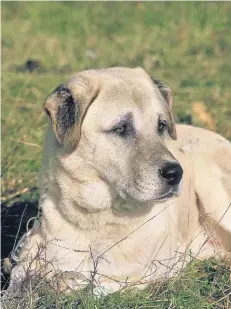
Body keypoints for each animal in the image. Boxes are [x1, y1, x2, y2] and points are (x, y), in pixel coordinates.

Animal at [5, 67, 231, 296]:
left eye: (161, 126)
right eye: (121, 128)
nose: (175, 173)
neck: (96, 219)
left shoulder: (148, 270)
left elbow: (98, 286)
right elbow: (19, 274)